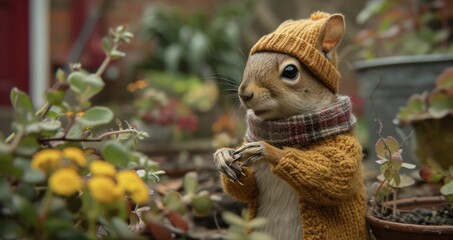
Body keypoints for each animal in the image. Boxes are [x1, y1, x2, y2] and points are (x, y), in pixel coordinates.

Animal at [212, 11, 368, 240]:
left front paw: (265, 150)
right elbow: (245, 190)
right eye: (250, 61)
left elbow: (336, 174)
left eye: (290, 71)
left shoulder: (345, 144)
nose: (244, 93)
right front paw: (222, 155)